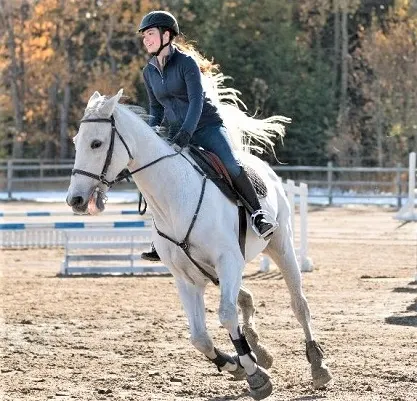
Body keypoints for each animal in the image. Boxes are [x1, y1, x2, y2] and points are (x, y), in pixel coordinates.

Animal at [66, 83, 332, 396]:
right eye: (76, 141)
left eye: (96, 143)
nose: (75, 200)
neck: (174, 197)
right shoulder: (186, 277)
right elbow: (199, 338)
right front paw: (238, 365)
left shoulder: (228, 261)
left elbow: (226, 315)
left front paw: (256, 376)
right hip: (215, 271)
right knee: (246, 299)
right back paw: (259, 350)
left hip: (280, 247)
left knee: (299, 304)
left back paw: (317, 366)